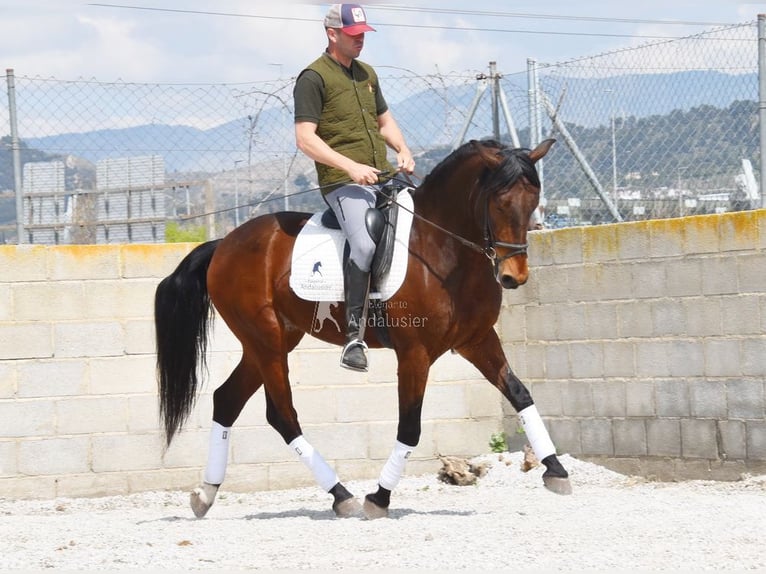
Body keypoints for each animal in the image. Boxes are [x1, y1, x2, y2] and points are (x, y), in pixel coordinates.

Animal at [154, 137, 571, 520]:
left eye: (534, 201)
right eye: (499, 202)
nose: (513, 276)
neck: (443, 249)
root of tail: (225, 243)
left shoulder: (477, 340)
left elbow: (520, 394)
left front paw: (556, 470)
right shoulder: (415, 354)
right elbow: (410, 427)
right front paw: (379, 498)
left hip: (272, 342)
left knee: (227, 400)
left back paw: (206, 493)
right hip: (266, 342)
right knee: (282, 415)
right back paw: (342, 495)